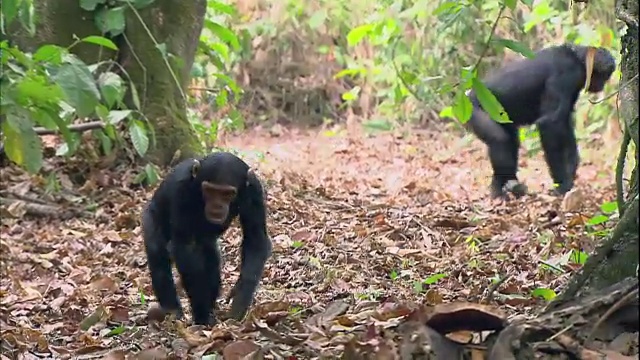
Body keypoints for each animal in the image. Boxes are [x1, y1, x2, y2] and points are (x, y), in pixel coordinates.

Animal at [141, 150, 272, 324]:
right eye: (210, 190)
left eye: (227, 194)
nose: (216, 206)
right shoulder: (181, 189)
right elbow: (186, 247)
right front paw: (202, 315)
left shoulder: (255, 190)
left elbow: (255, 238)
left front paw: (239, 301)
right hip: (150, 216)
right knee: (158, 255)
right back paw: (172, 310)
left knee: (212, 262)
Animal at [468, 44, 616, 200]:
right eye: (606, 75)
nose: (603, 85)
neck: (579, 61)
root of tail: (468, 94)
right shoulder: (566, 75)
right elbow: (550, 123)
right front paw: (562, 184)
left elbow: (564, 124)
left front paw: (570, 176)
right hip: (475, 112)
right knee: (499, 140)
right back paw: (499, 192)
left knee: (512, 142)